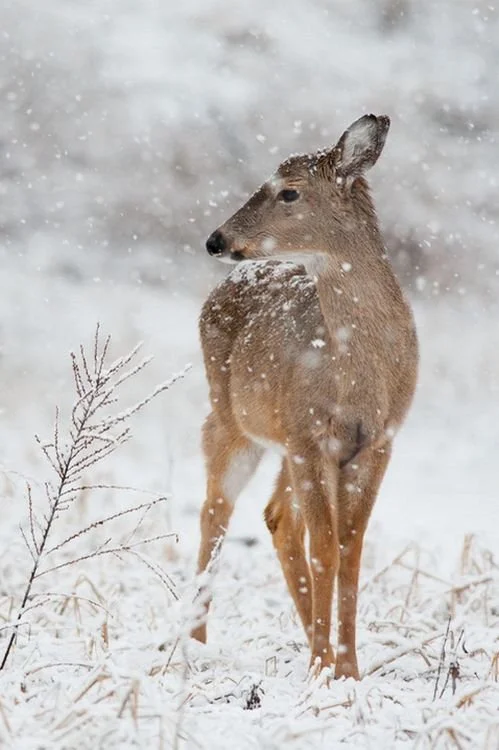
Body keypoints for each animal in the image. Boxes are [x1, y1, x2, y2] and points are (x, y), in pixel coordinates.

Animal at [190, 114, 418, 680]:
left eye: (288, 191)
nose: (215, 240)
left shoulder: (376, 442)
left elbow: (350, 550)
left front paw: (348, 669)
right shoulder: (311, 437)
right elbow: (326, 551)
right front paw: (323, 668)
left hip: (284, 442)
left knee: (277, 518)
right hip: (232, 419)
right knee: (215, 511)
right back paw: (194, 644)